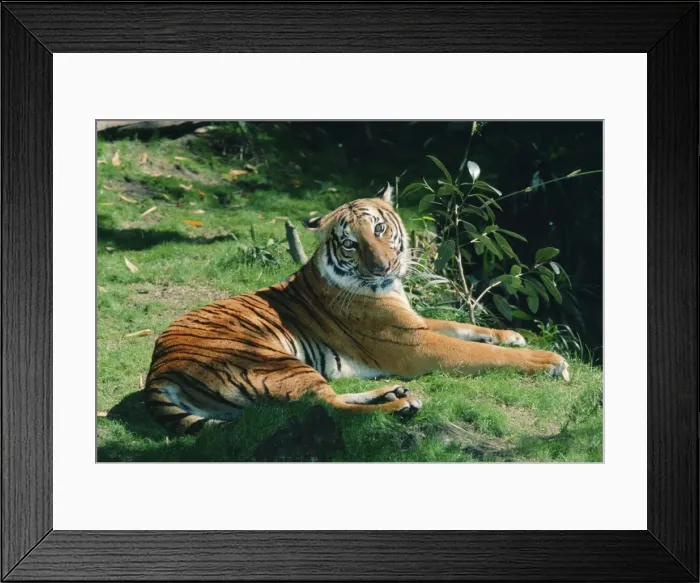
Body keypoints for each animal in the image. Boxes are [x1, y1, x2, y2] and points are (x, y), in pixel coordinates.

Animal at [145, 183, 570, 434]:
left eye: (379, 229)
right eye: (350, 243)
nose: (383, 267)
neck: (389, 287)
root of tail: (158, 371)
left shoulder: (416, 324)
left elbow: (461, 326)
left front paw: (510, 335)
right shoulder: (414, 344)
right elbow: (477, 351)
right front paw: (549, 360)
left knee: (328, 399)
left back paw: (394, 393)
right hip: (276, 362)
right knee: (327, 408)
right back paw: (400, 405)